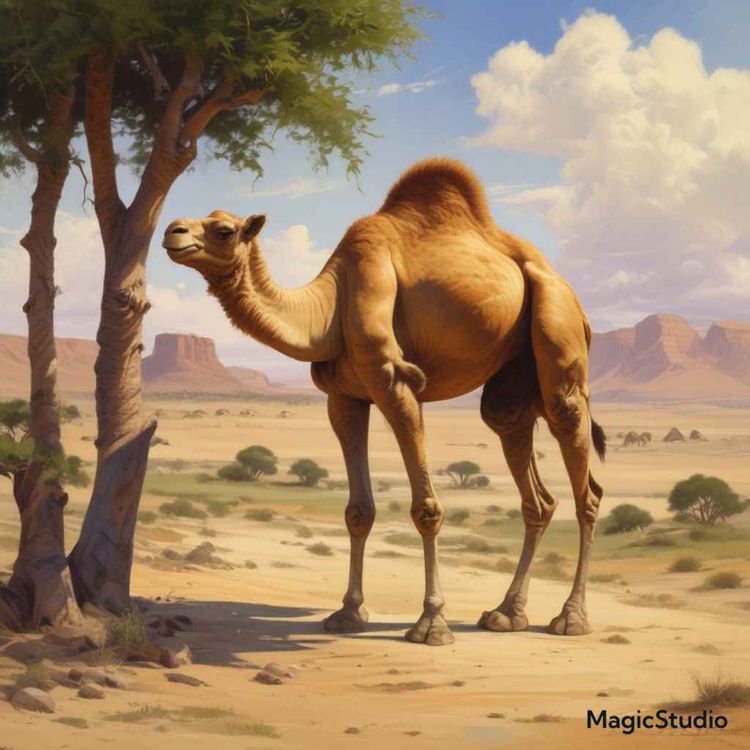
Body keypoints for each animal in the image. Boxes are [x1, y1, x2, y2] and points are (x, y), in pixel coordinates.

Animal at [162, 158, 606, 645]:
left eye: (223, 230)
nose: (172, 231)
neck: (328, 310)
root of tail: (575, 300)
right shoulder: (345, 398)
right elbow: (358, 510)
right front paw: (347, 613)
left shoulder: (394, 380)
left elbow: (426, 508)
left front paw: (431, 623)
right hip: (513, 378)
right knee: (527, 471)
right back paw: (506, 612)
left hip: (557, 321)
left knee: (584, 479)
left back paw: (571, 618)